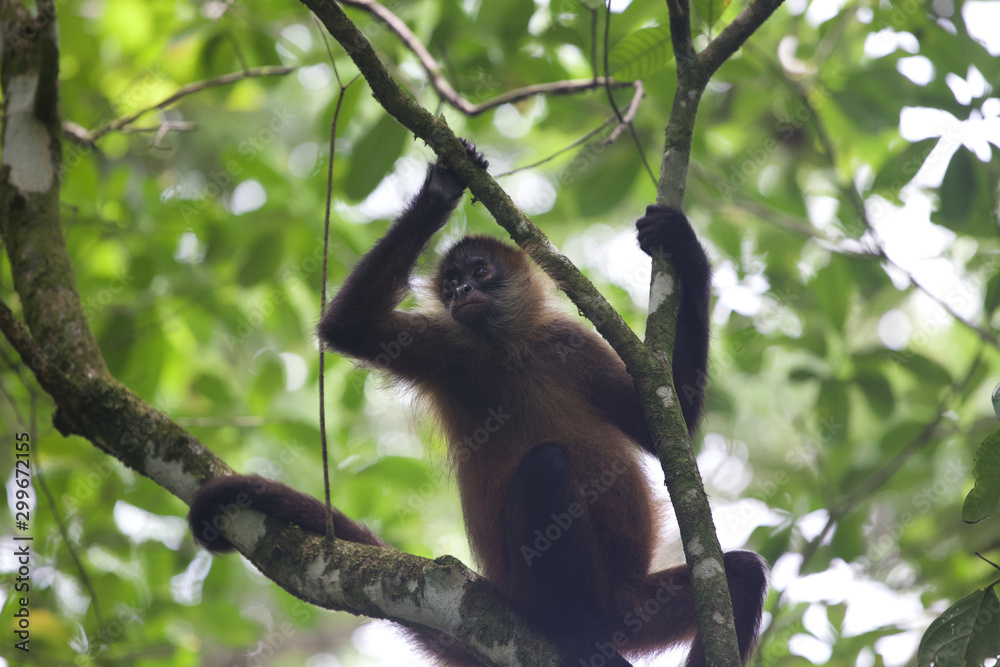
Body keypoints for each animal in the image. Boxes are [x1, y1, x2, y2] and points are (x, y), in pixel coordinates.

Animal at [188, 139, 768, 667]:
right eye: (450, 283)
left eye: (480, 272)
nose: (462, 289)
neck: (508, 350)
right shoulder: (451, 348)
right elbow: (348, 327)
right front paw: (440, 190)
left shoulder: (566, 342)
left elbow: (669, 422)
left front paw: (685, 249)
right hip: (538, 592)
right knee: (546, 464)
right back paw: (578, 636)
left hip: (637, 606)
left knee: (740, 576)